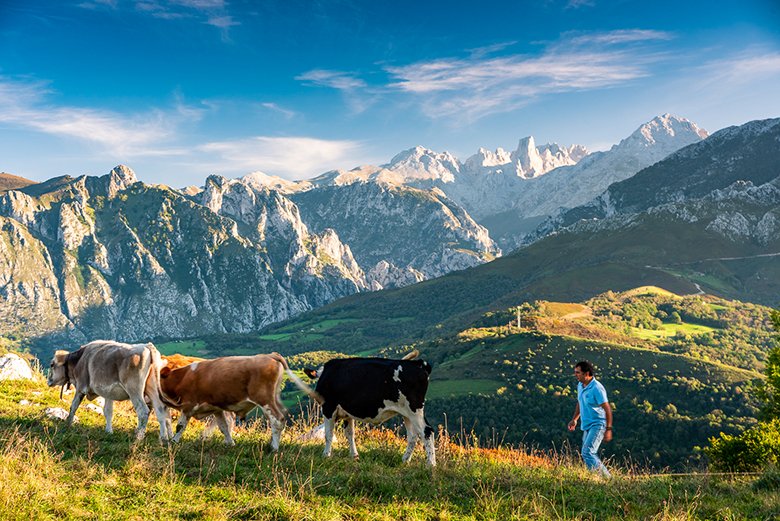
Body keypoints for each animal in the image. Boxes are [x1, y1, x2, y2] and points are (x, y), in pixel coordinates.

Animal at [158, 352, 308, 448]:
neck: (182, 377)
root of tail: (270, 355)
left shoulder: (188, 405)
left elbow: (180, 426)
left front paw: (174, 441)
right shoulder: (216, 409)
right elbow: (223, 426)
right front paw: (230, 443)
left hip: (264, 399)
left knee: (277, 420)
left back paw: (274, 448)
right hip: (274, 399)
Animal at [300, 356, 436, 466]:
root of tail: (418, 363)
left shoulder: (328, 408)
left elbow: (328, 434)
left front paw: (326, 455)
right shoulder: (347, 413)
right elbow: (350, 434)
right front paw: (354, 455)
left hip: (414, 409)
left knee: (427, 431)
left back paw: (431, 464)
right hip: (406, 413)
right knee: (413, 436)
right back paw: (405, 460)